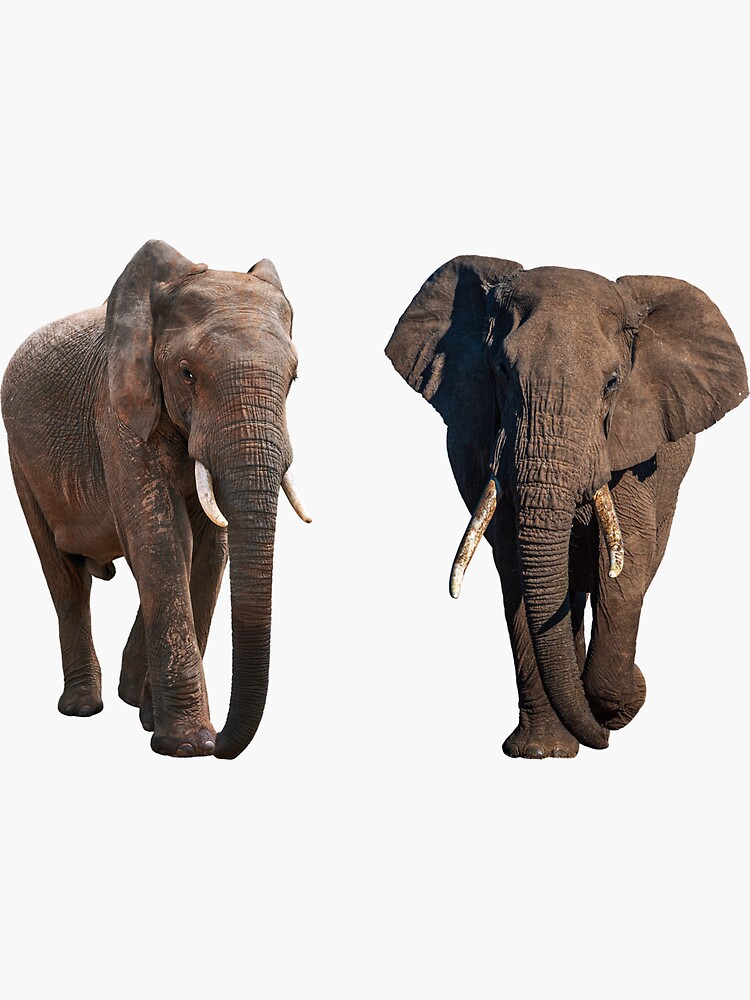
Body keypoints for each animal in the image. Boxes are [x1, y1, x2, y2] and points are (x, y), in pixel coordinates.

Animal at [2, 240, 311, 759]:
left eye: (293, 379)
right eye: (186, 374)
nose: (221, 745)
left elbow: (207, 550)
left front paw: (162, 726)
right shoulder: (117, 408)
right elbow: (162, 538)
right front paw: (187, 745)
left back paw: (131, 699)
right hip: (20, 459)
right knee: (65, 579)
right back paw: (83, 708)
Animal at [386, 256, 747, 758]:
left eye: (613, 382)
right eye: (501, 370)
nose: (604, 736)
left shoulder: (632, 447)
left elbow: (625, 565)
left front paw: (614, 705)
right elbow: (518, 569)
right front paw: (541, 752)